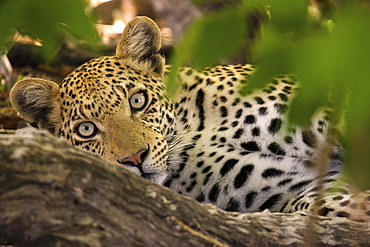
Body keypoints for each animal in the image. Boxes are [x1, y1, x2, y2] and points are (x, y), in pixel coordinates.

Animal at [10, 16, 368, 221]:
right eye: (87, 130)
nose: (135, 159)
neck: (191, 129)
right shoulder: (291, 186)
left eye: (137, 101)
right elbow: (323, 203)